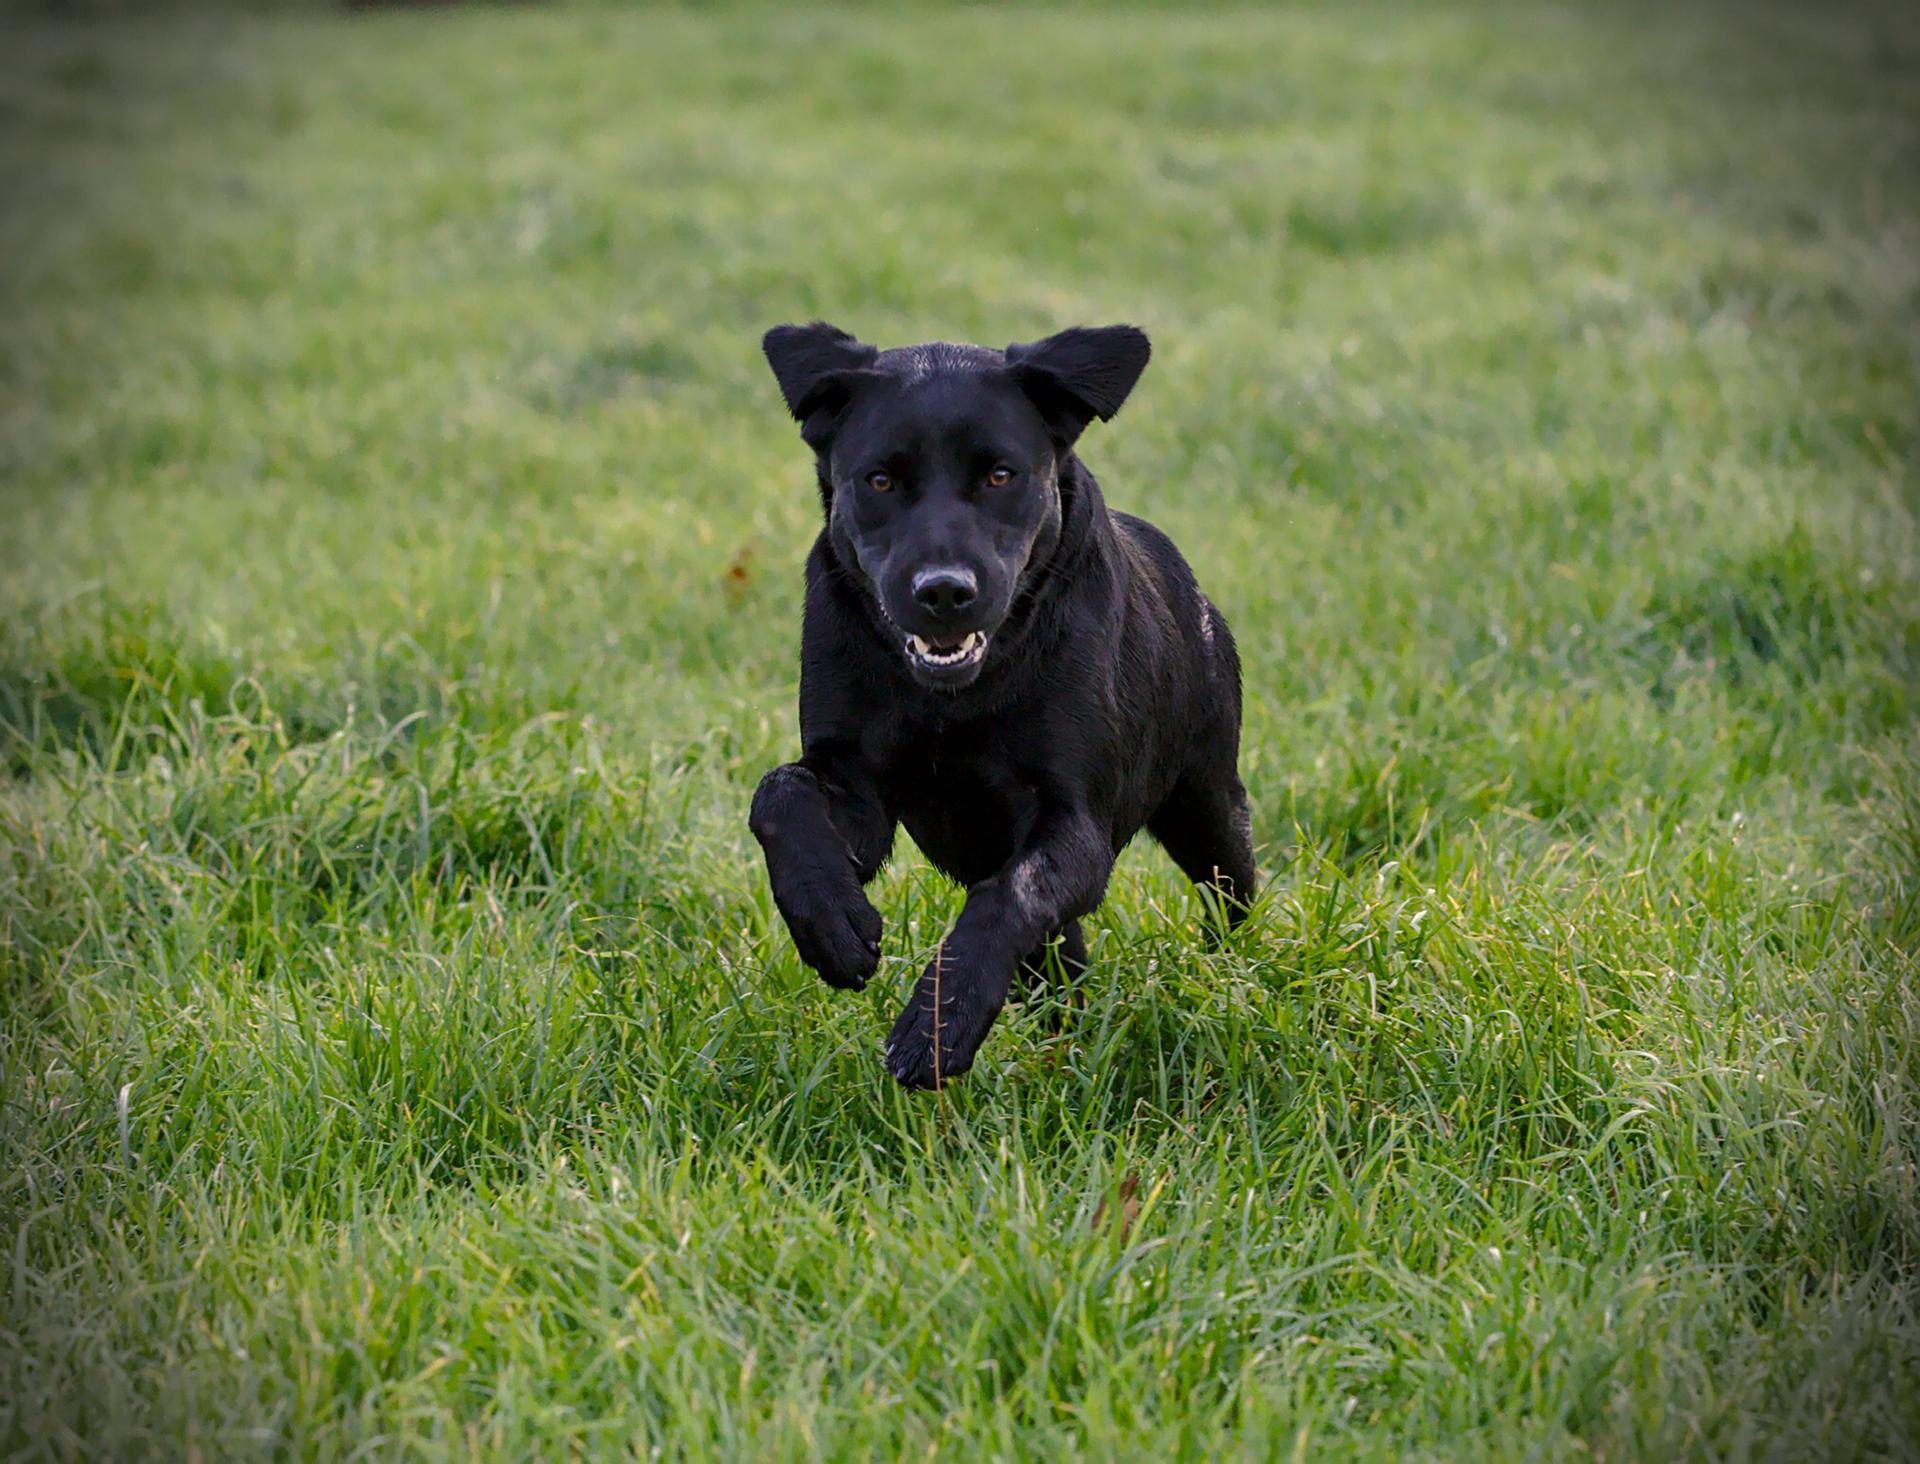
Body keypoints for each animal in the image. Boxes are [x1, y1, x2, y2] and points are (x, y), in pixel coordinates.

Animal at [748, 322, 1259, 1083]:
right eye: (879, 480)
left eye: (1000, 475)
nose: (943, 590)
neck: (954, 701)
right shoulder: (857, 784)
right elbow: (779, 794)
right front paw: (833, 928)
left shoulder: (1073, 816)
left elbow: (1010, 894)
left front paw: (939, 1024)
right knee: (1059, 962)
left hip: (1207, 805)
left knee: (1229, 889)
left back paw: (1232, 976)